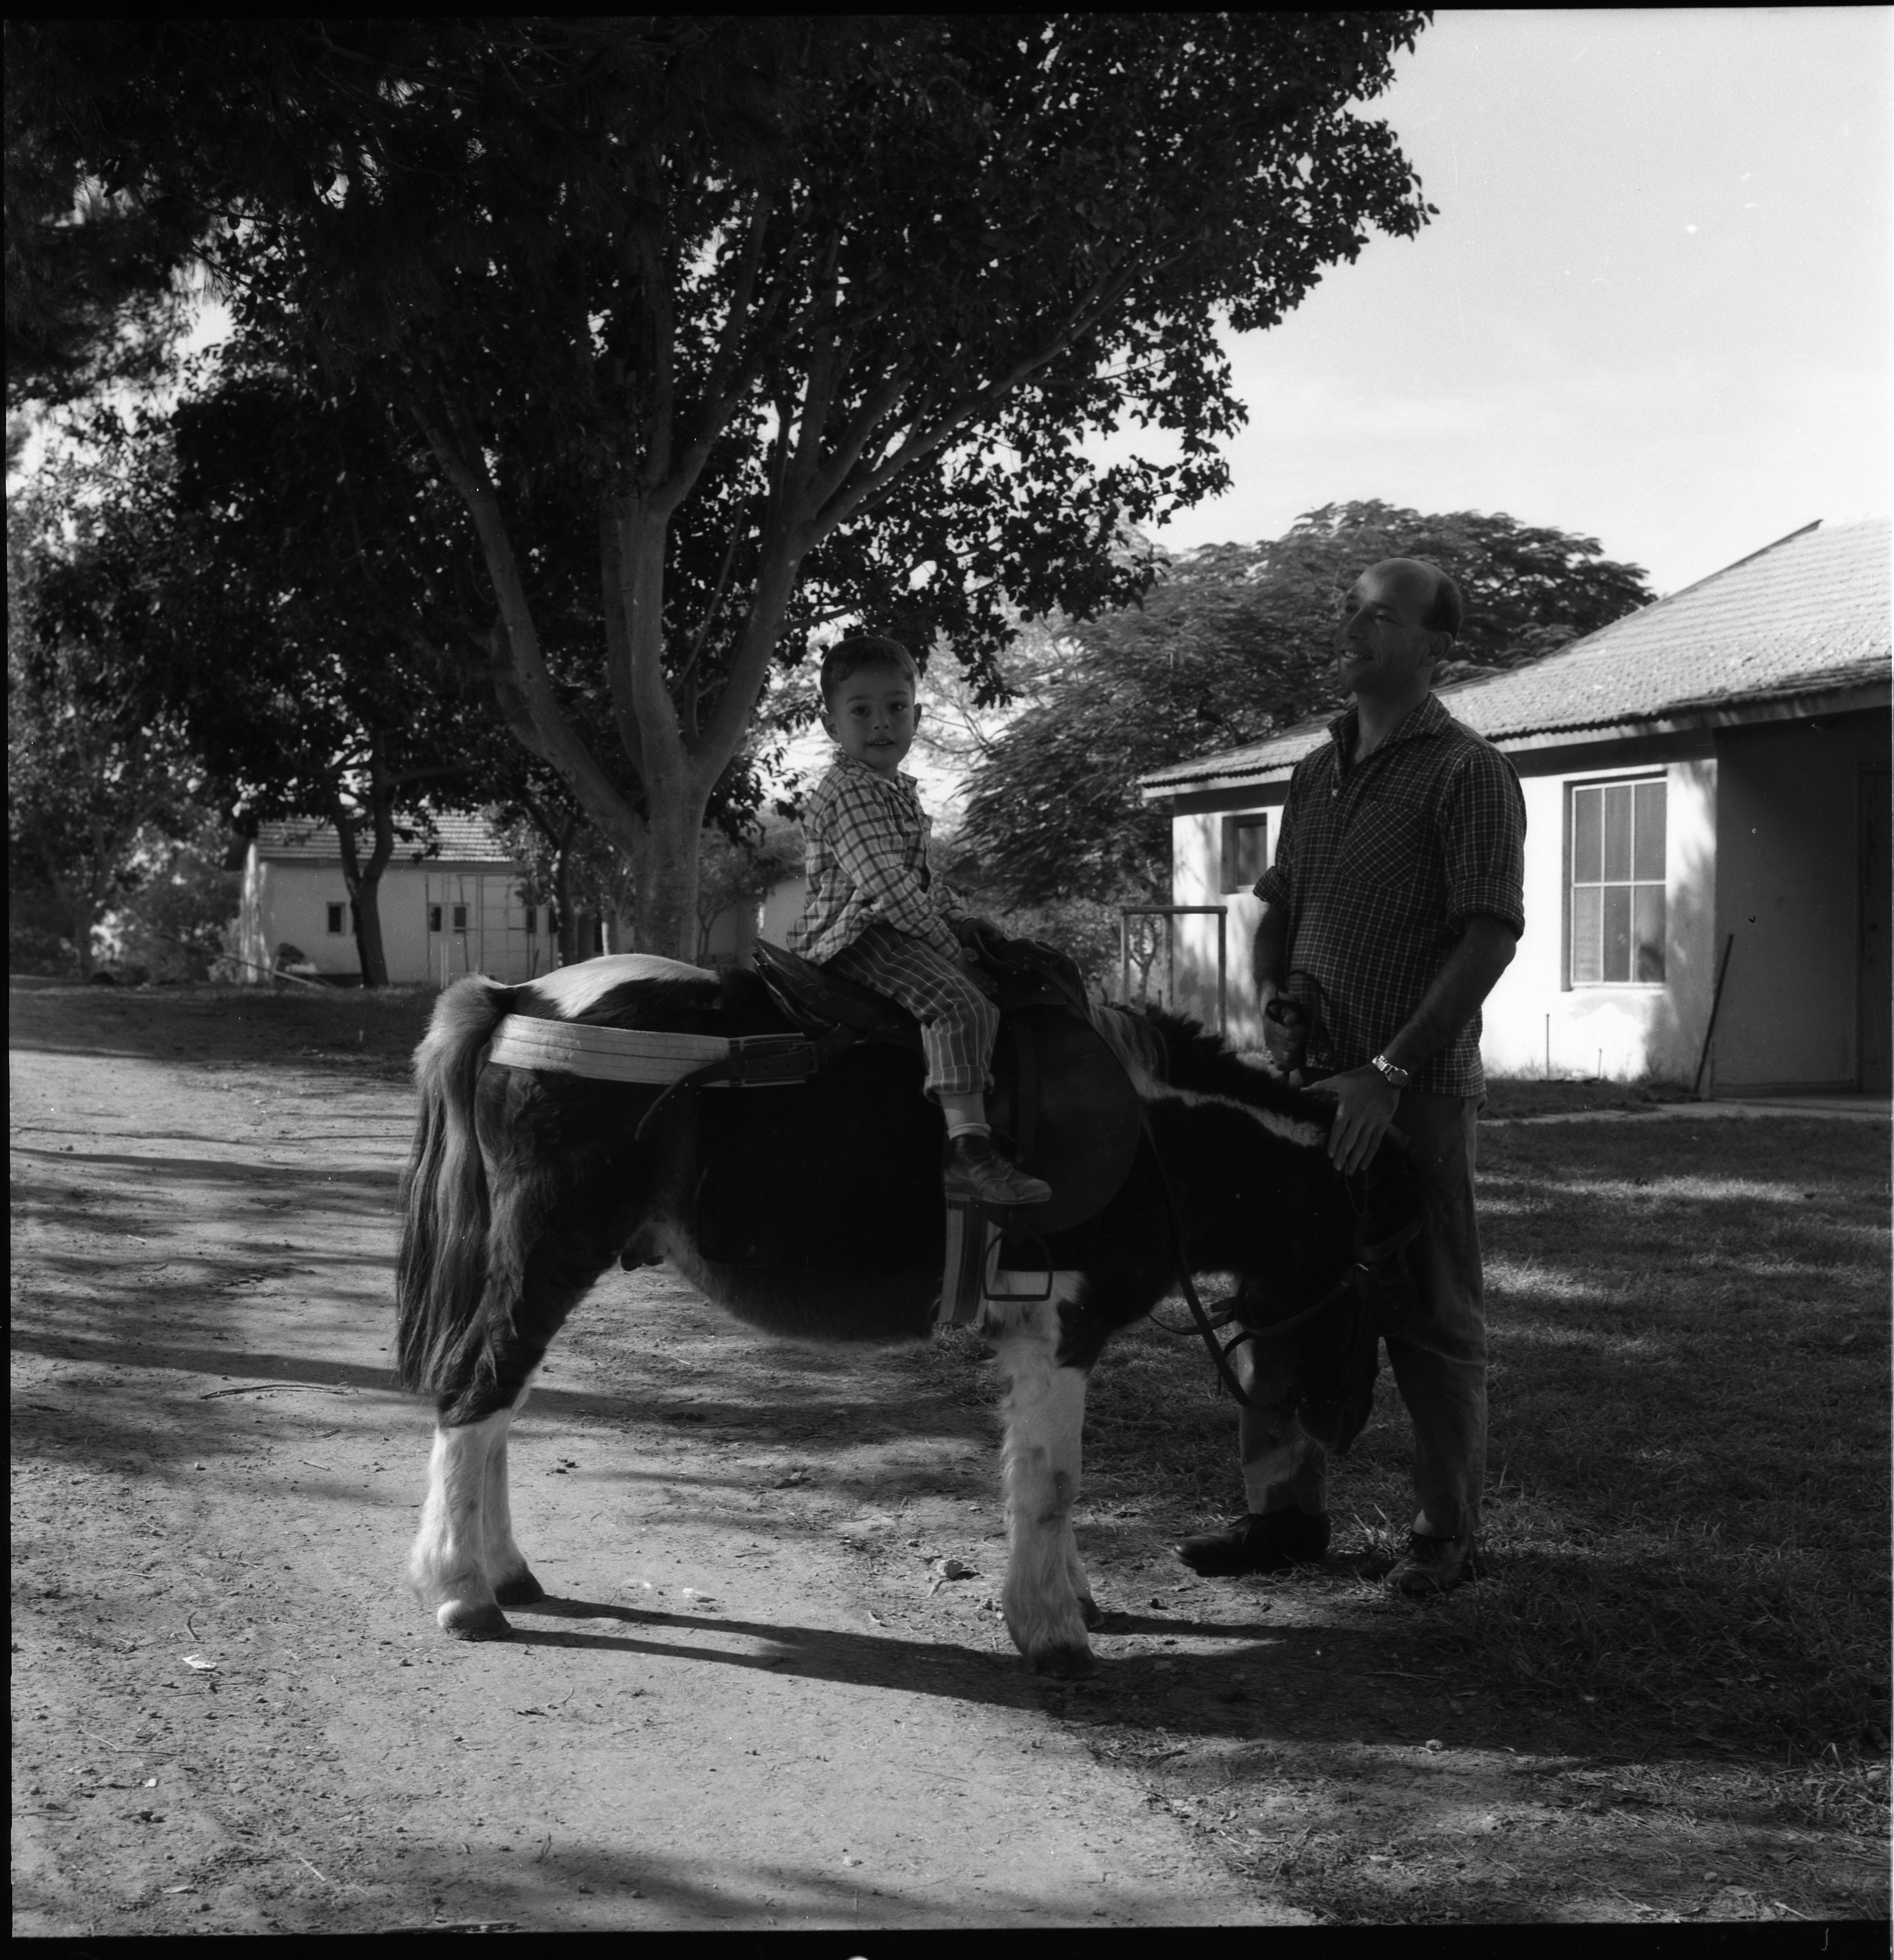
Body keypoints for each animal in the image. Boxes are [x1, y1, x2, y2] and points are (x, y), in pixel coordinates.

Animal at [392, 956, 1419, 1677]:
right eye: (1370, 1271)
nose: (1345, 1420)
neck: (1151, 1137)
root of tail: (518, 996)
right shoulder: (1062, 1334)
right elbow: (1051, 1482)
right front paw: (1051, 1632)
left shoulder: (1042, 1342)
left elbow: (1041, 1478)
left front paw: (1072, 1598)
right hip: (550, 1254)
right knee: (476, 1390)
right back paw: (463, 1591)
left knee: (498, 1405)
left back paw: (503, 1568)